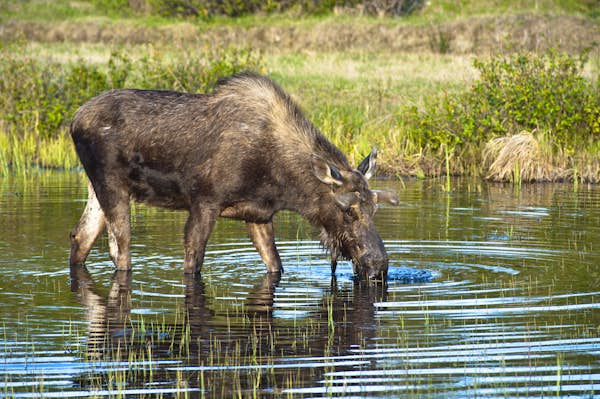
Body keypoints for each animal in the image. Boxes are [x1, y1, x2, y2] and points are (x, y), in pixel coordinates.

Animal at [69, 73, 398, 282]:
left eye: (373, 208)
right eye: (347, 211)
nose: (379, 265)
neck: (285, 185)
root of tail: (73, 121)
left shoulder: (259, 215)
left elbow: (275, 265)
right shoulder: (204, 202)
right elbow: (193, 263)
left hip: (96, 188)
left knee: (80, 238)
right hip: (111, 184)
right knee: (120, 249)